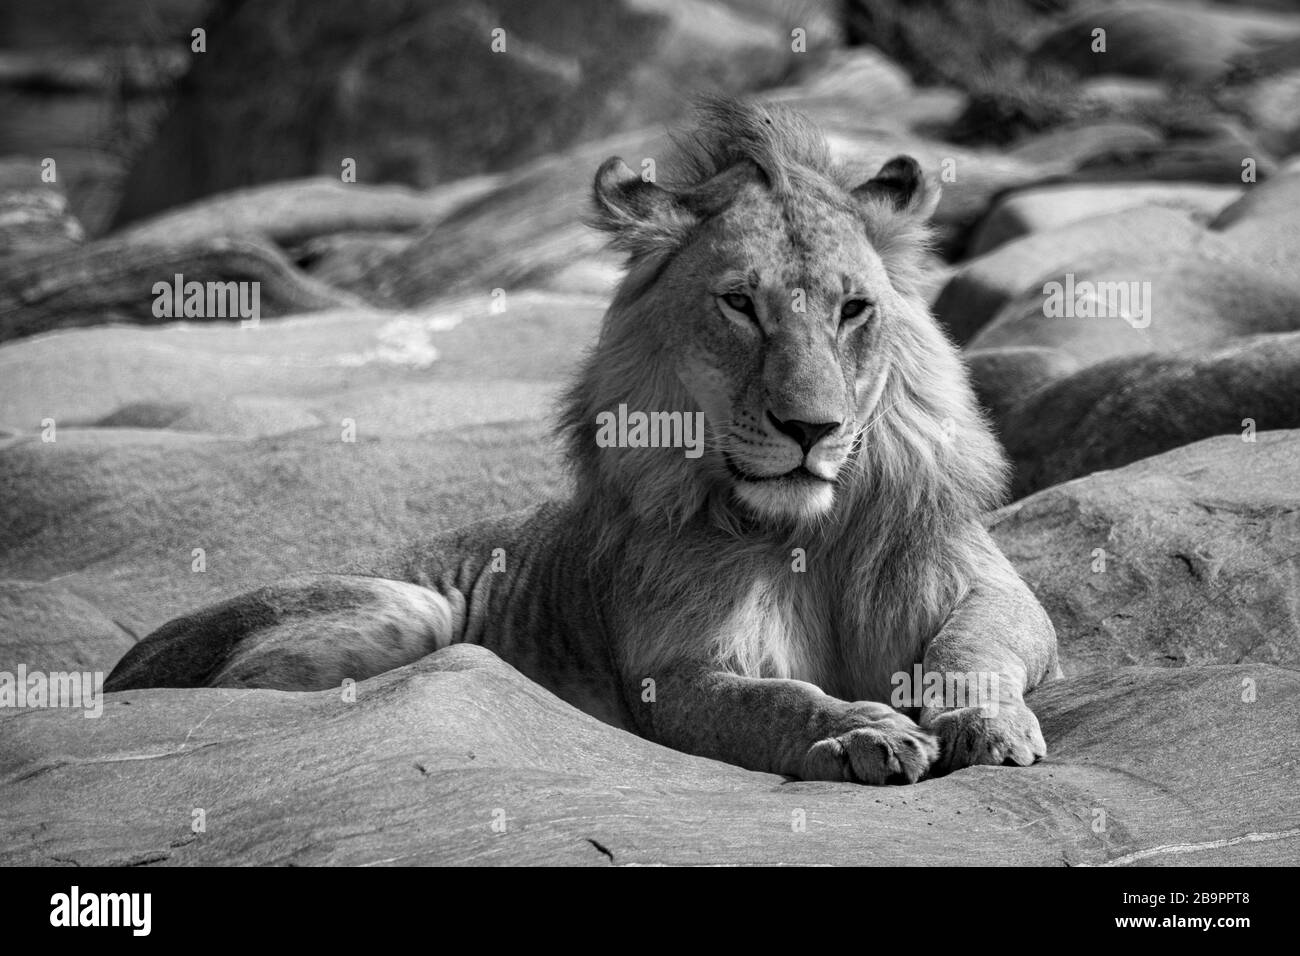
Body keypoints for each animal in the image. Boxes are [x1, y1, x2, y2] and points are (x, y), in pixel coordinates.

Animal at [107, 99, 1061, 784]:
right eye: (740, 306)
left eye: (854, 309)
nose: (812, 429)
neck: (805, 535)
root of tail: (120, 666)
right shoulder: (672, 673)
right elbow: (779, 701)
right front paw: (862, 730)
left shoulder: (991, 590)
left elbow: (967, 653)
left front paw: (986, 724)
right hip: (410, 606)